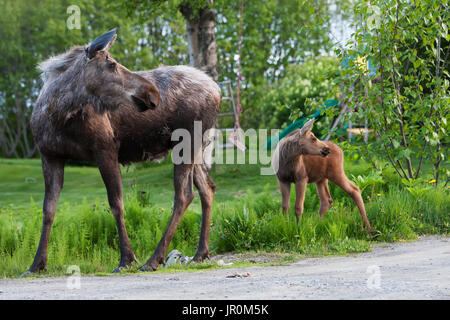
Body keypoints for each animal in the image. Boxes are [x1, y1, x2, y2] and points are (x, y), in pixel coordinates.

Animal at [24, 29, 221, 276]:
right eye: (111, 64)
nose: (153, 93)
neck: (57, 115)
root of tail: (218, 91)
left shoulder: (106, 148)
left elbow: (116, 204)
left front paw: (127, 259)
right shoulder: (50, 155)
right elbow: (48, 209)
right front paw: (36, 264)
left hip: (186, 143)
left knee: (184, 194)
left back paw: (153, 259)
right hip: (197, 148)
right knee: (207, 188)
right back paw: (200, 253)